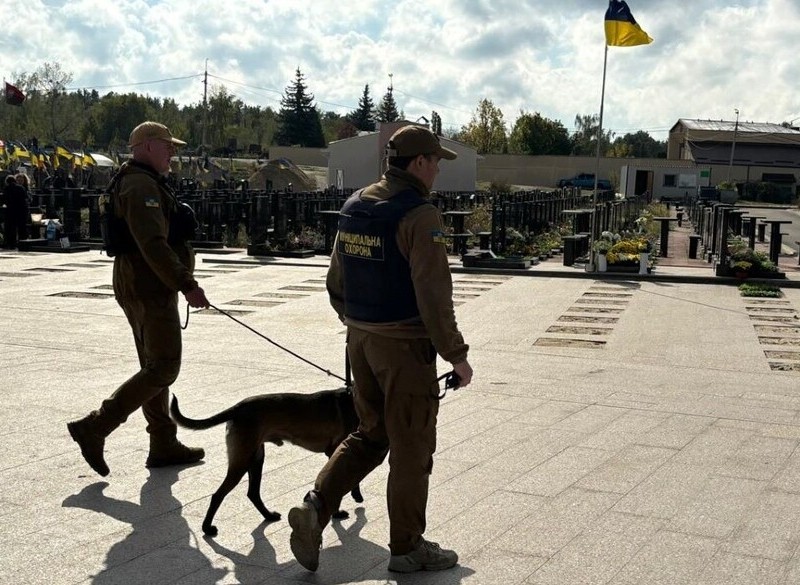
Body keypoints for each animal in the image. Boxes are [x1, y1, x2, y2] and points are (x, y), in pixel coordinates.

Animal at [175, 386, 366, 536]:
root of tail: (238, 407)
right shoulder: (339, 450)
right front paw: (339, 511)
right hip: (242, 460)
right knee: (218, 495)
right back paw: (207, 528)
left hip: (256, 458)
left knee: (252, 492)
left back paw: (268, 516)